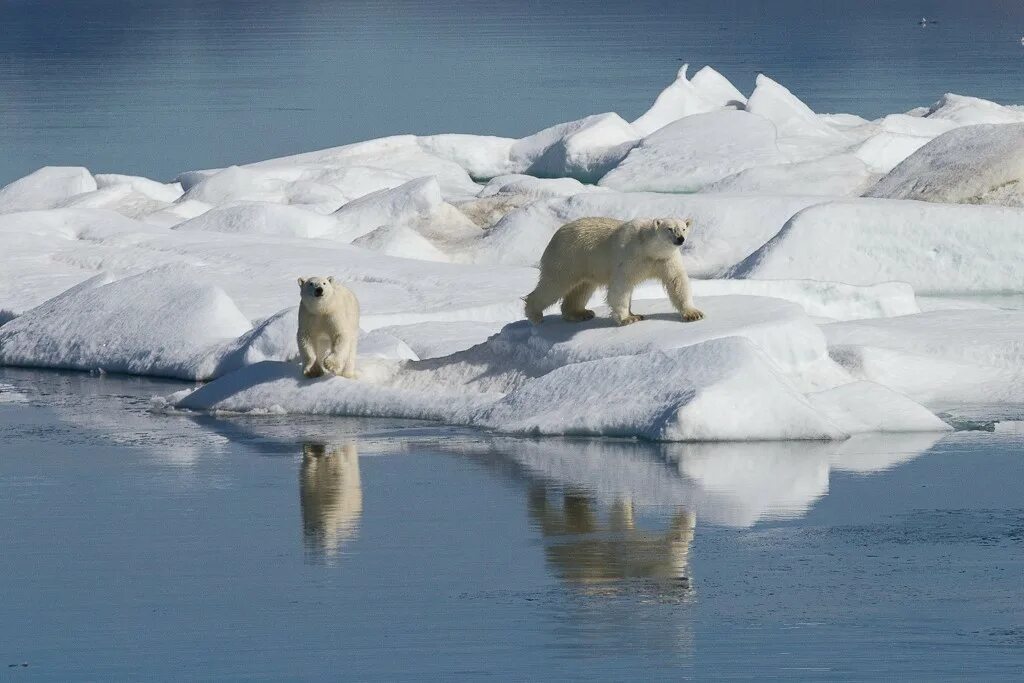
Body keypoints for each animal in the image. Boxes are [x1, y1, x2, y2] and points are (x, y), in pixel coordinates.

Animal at [528, 218, 704, 327]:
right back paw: (534, 314)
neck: (649, 248)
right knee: (554, 285)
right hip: (568, 257)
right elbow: (621, 285)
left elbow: (677, 282)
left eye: (683, 228)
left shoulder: (666, 260)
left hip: (585, 264)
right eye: (670, 229)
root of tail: (555, 235)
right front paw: (630, 318)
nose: (680, 239)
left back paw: (580, 313)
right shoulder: (630, 257)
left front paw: (694, 314)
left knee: (582, 288)